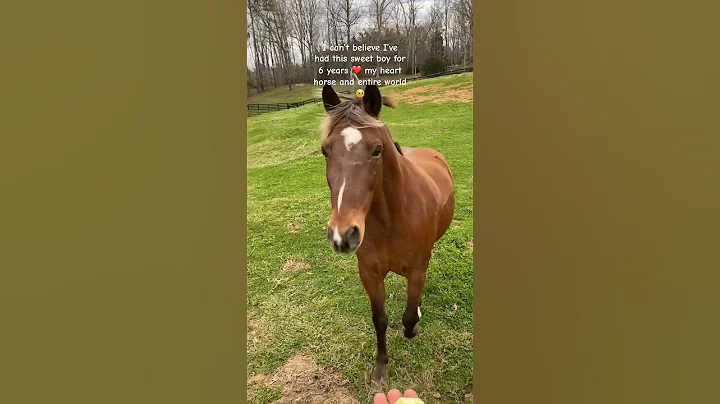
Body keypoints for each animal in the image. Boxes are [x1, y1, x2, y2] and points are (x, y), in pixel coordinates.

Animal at [319, 84, 455, 386]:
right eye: (324, 151)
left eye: (377, 150)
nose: (342, 235)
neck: (390, 221)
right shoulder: (370, 274)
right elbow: (380, 319)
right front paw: (381, 368)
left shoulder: (417, 271)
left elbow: (408, 317)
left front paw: (414, 328)